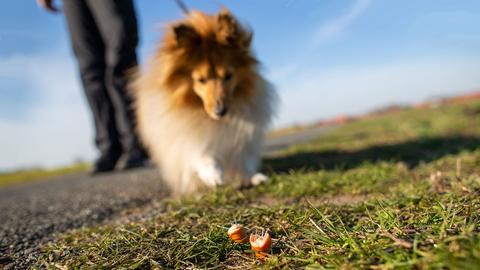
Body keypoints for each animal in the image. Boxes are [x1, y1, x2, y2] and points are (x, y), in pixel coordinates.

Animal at [132, 7, 278, 194]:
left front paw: (251, 177)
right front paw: (213, 174)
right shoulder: (181, 133)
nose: (220, 112)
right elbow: (199, 153)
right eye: (201, 80)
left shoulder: (241, 137)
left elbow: (241, 158)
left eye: (228, 75)